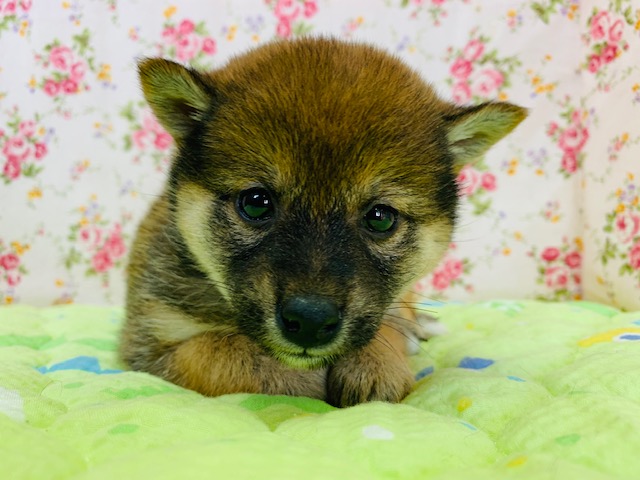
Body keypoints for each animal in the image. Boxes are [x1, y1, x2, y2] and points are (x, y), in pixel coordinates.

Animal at [119, 37, 524, 406]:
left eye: (381, 218)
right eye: (255, 203)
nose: (311, 321)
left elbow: (385, 325)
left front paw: (378, 362)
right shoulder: (150, 342)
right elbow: (217, 351)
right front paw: (297, 377)